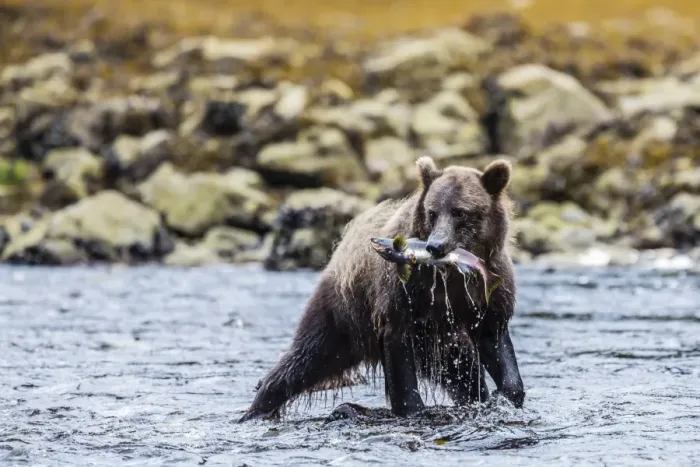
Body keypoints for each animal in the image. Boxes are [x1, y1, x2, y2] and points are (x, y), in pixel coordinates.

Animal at [238, 156, 525, 422]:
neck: (451, 272)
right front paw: (412, 408)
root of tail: (343, 244)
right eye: (432, 212)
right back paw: (256, 409)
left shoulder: (487, 293)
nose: (435, 246)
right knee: (305, 358)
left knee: (462, 370)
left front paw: (505, 395)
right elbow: (399, 352)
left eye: (460, 212)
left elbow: (495, 341)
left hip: (437, 340)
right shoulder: (404, 295)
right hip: (344, 313)